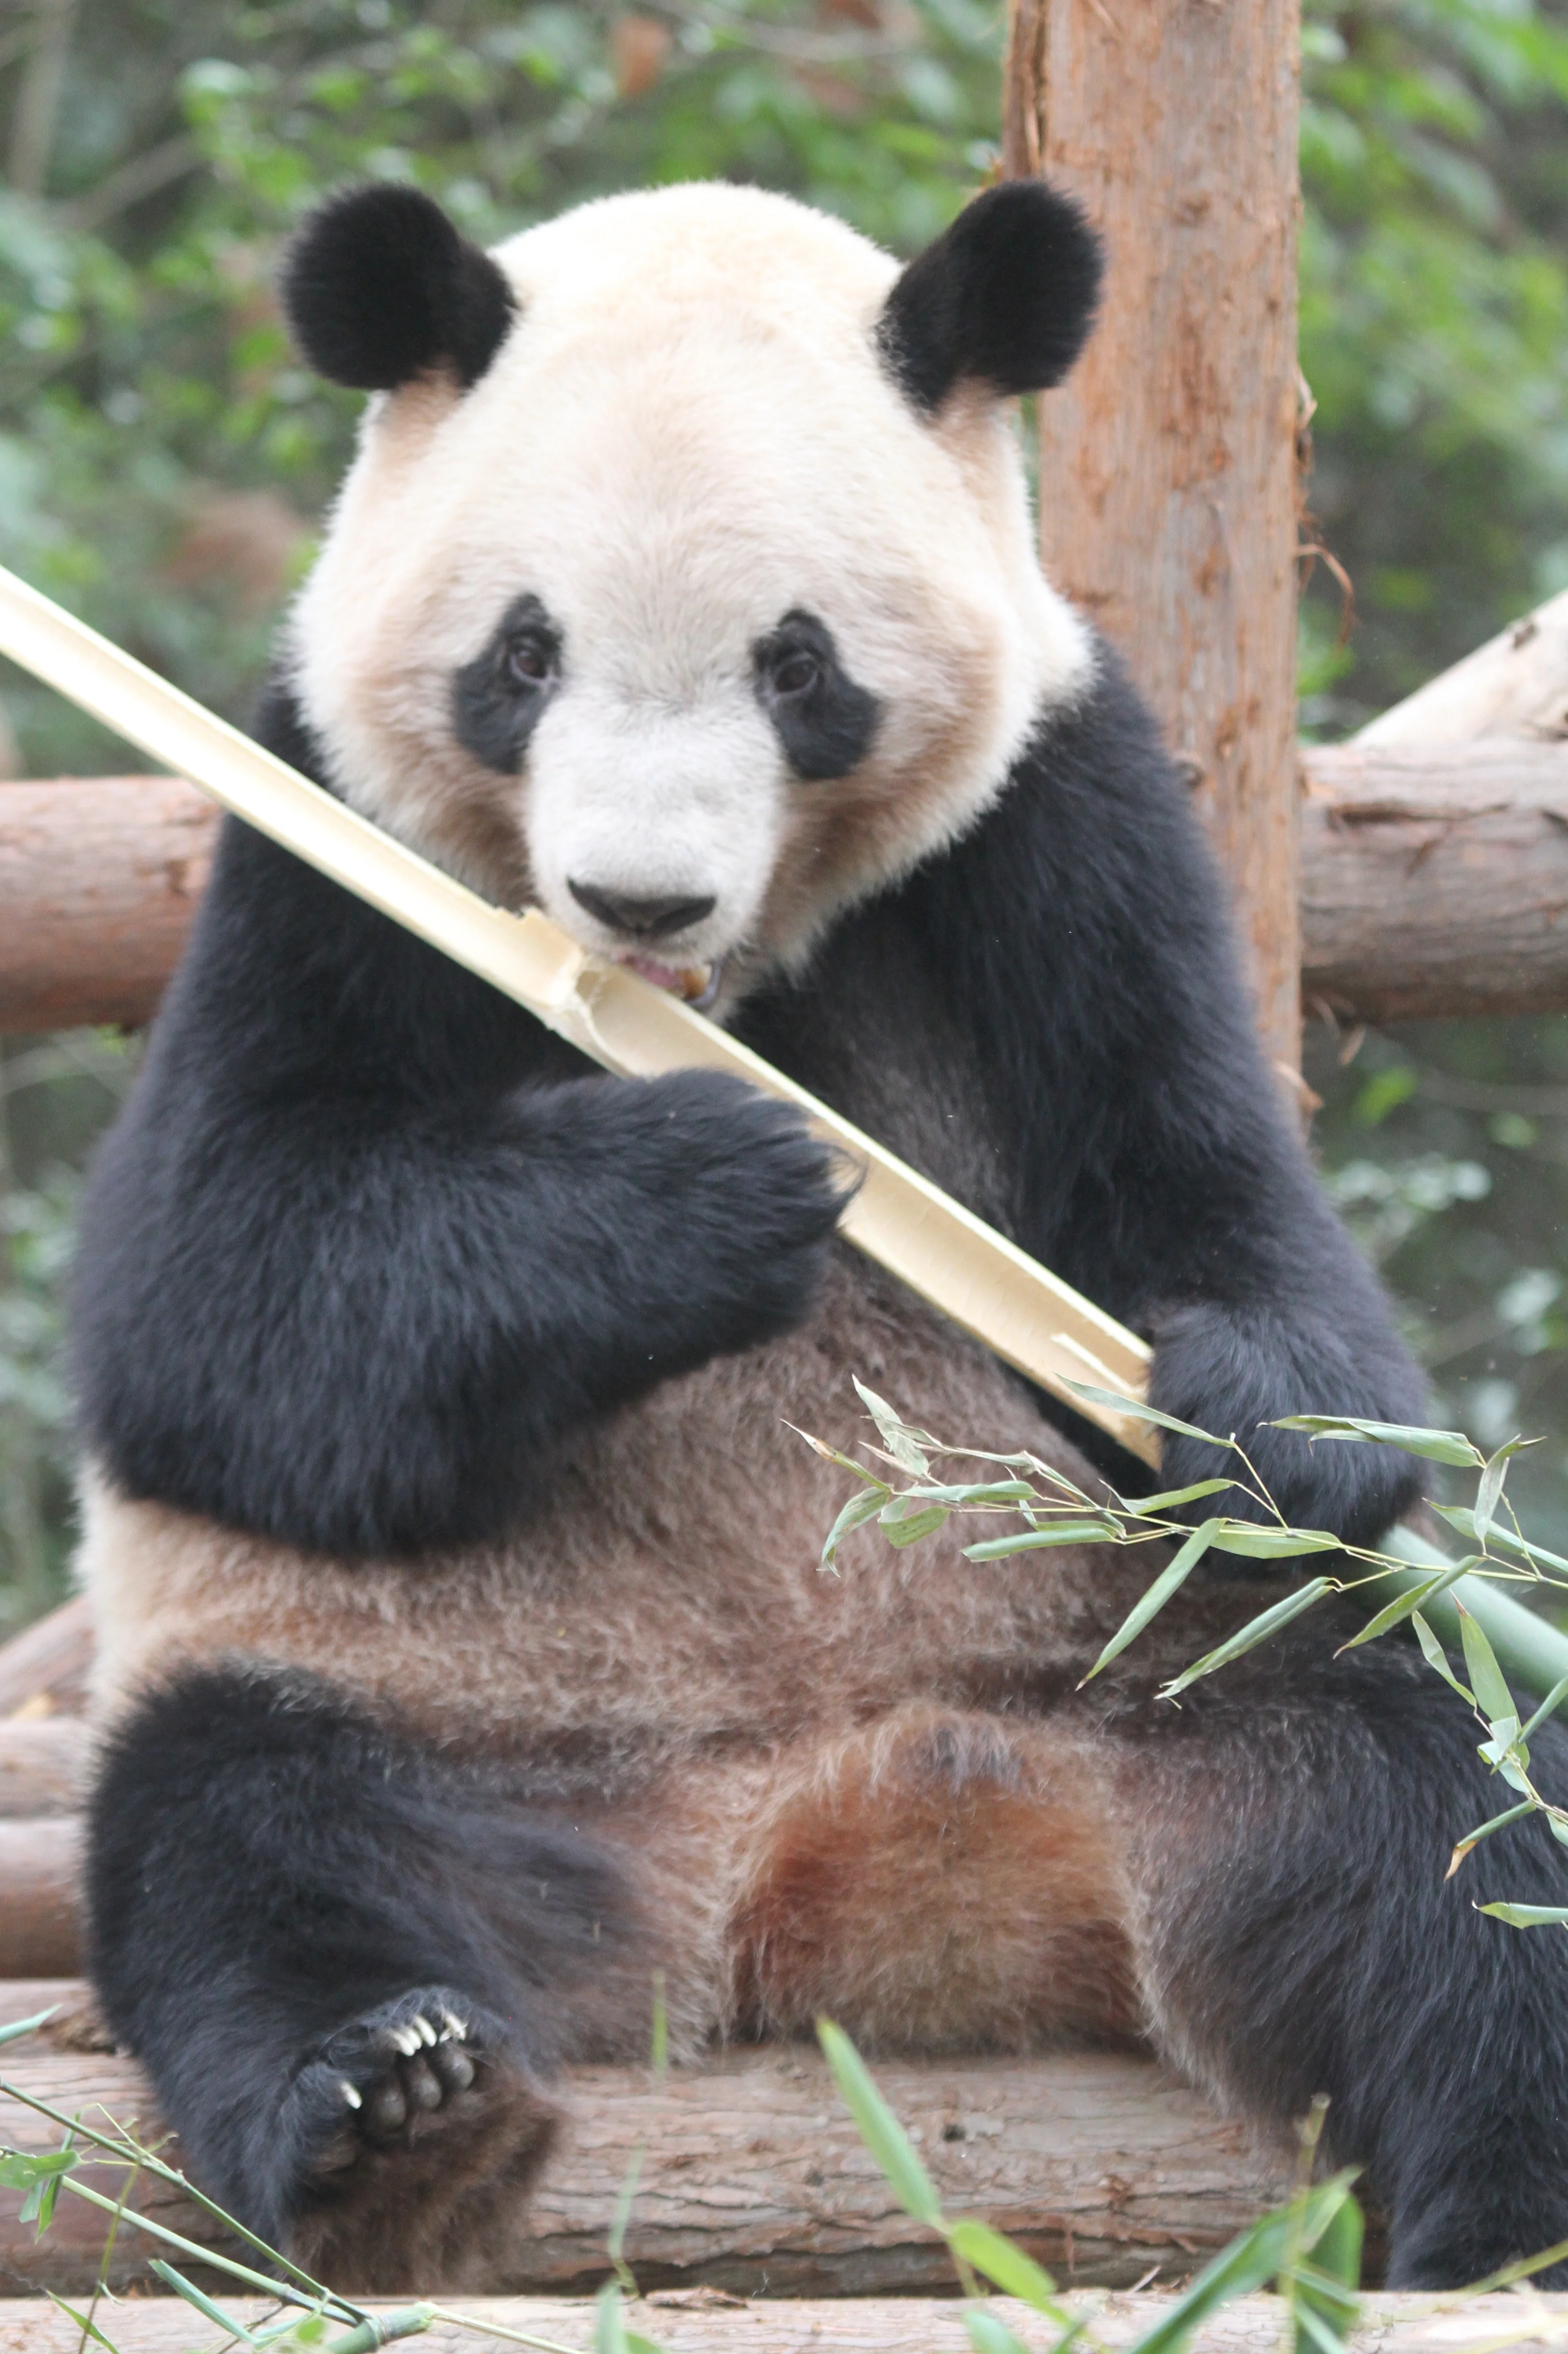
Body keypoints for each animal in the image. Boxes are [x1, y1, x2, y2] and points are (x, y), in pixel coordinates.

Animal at [69, 177, 1568, 2294]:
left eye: (796, 665)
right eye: (520, 654)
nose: (634, 896)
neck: (715, 986)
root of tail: (864, 1856)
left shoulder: (1060, 818)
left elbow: (1200, 1181)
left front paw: (1253, 1420)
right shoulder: (318, 828)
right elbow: (203, 1297)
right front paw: (723, 1182)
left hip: (1199, 1679)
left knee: (1462, 1830)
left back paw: (1498, 2230)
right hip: (435, 1707)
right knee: (246, 1848)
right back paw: (393, 2113)